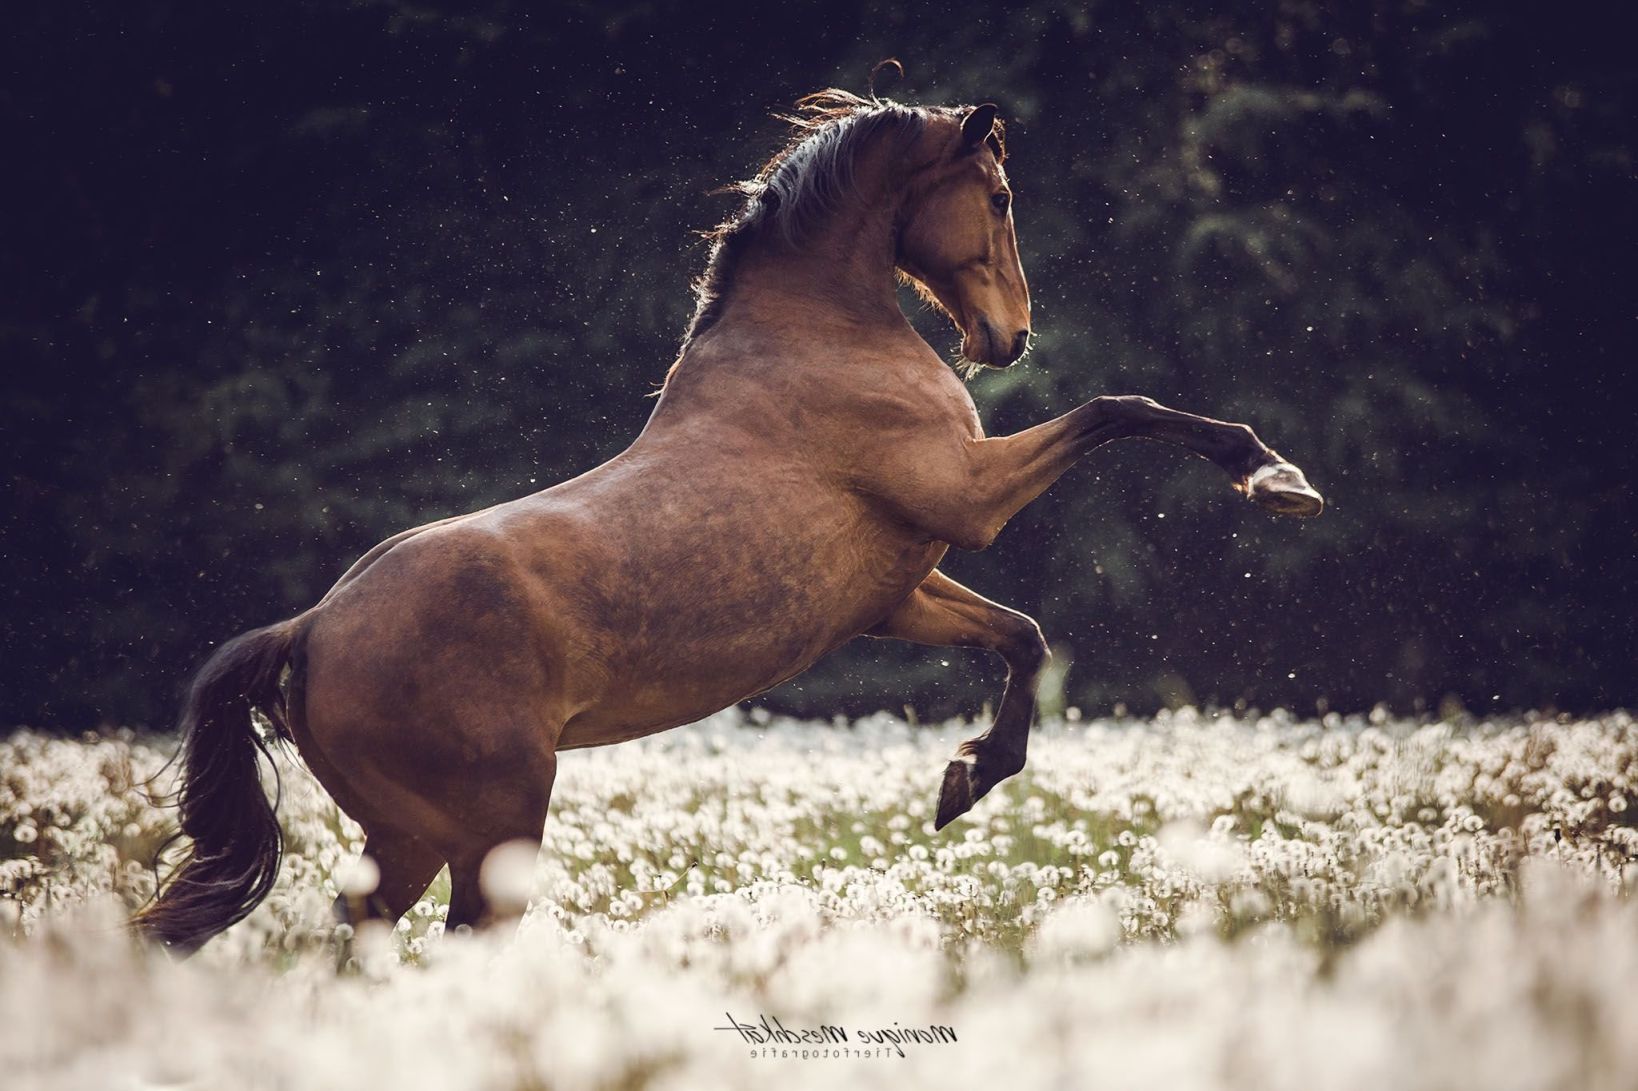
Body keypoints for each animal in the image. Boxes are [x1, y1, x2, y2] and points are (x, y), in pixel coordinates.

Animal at [134, 89, 1323, 950]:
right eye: (995, 196)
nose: (1011, 338)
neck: (820, 333)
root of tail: (310, 628)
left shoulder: (896, 587)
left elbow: (1022, 638)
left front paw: (963, 781)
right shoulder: (968, 495)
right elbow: (1121, 410)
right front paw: (1272, 474)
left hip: (406, 836)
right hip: (490, 819)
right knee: (460, 938)